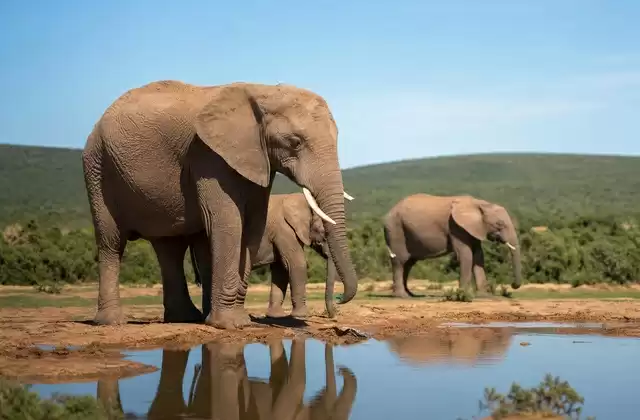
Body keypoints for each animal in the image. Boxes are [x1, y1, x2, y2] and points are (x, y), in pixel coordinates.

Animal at [189, 192, 351, 321]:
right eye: (323, 234)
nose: (335, 309)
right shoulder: (284, 229)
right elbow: (296, 264)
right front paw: (301, 316)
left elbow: (281, 270)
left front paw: (276, 316)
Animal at [383, 194, 522, 297]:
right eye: (499, 224)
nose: (513, 285)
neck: (479, 204)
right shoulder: (456, 227)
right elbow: (466, 255)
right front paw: (464, 294)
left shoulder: (473, 228)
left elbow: (478, 256)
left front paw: (484, 295)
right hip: (395, 229)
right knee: (400, 261)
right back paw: (402, 296)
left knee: (409, 263)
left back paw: (410, 294)